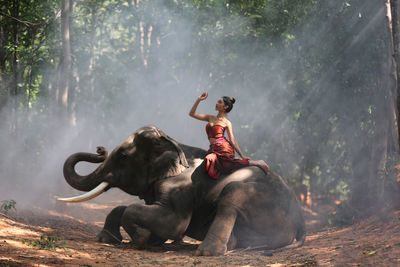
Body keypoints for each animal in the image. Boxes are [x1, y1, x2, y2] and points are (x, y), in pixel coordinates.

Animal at [57, 126, 304, 256]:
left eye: (123, 157)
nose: (100, 149)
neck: (173, 143)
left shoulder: (181, 187)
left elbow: (172, 222)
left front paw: (143, 238)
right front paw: (109, 239)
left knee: (232, 192)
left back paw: (207, 252)